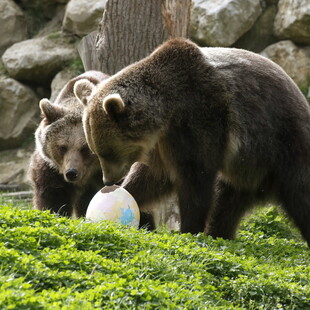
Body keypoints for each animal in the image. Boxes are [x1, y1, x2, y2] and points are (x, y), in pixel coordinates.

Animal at [73, 39, 310, 247]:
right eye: (95, 151)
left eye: (107, 152)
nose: (108, 181)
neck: (168, 111)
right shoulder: (162, 142)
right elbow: (153, 177)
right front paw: (128, 192)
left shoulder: (201, 118)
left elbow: (195, 177)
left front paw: (188, 230)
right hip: (245, 171)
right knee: (227, 203)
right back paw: (220, 234)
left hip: (284, 146)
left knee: (300, 194)